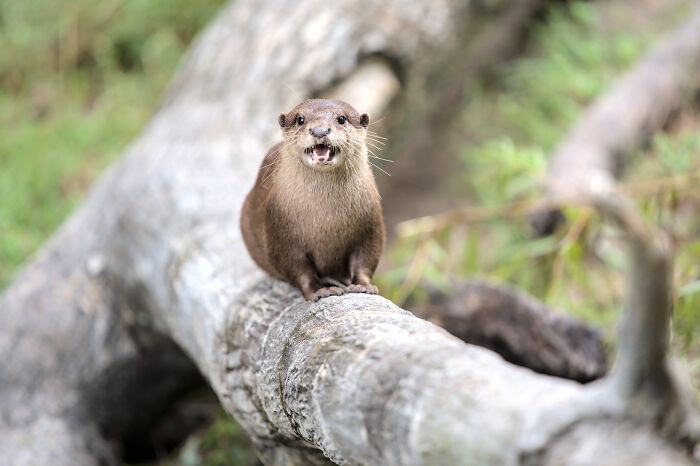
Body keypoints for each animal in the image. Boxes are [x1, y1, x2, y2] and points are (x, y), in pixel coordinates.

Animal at [240, 99, 385, 301]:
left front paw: (362, 285)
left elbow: (365, 260)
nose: (319, 131)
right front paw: (320, 290)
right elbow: (299, 270)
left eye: (342, 118)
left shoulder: (370, 226)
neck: (328, 221)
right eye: (300, 119)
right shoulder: (282, 235)